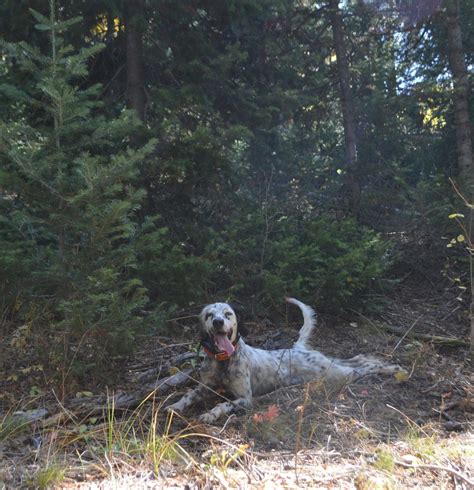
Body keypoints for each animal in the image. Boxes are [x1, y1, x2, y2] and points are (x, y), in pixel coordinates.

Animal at [166, 296, 404, 424]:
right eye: (209, 315)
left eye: (227, 314)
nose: (217, 322)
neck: (224, 360)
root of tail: (296, 348)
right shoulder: (206, 387)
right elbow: (188, 394)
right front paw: (175, 405)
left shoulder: (245, 398)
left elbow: (222, 404)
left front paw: (209, 414)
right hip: (333, 367)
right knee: (358, 358)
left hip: (333, 373)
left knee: (364, 366)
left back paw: (393, 368)